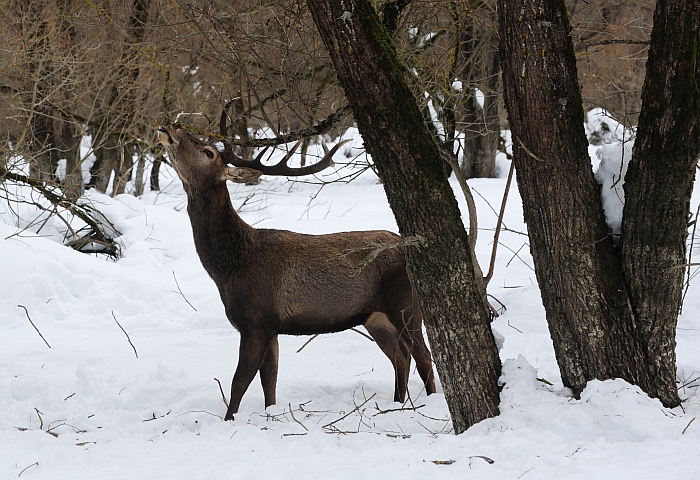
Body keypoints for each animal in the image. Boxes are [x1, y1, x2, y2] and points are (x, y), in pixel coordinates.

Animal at [156, 105, 434, 420]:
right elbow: (270, 380)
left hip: (405, 304)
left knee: (424, 358)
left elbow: (240, 381)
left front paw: (229, 420)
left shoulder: (257, 321)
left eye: (208, 152)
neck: (229, 269)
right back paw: (397, 404)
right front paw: (271, 415)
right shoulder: (271, 327)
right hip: (375, 317)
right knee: (401, 357)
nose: (171, 127)